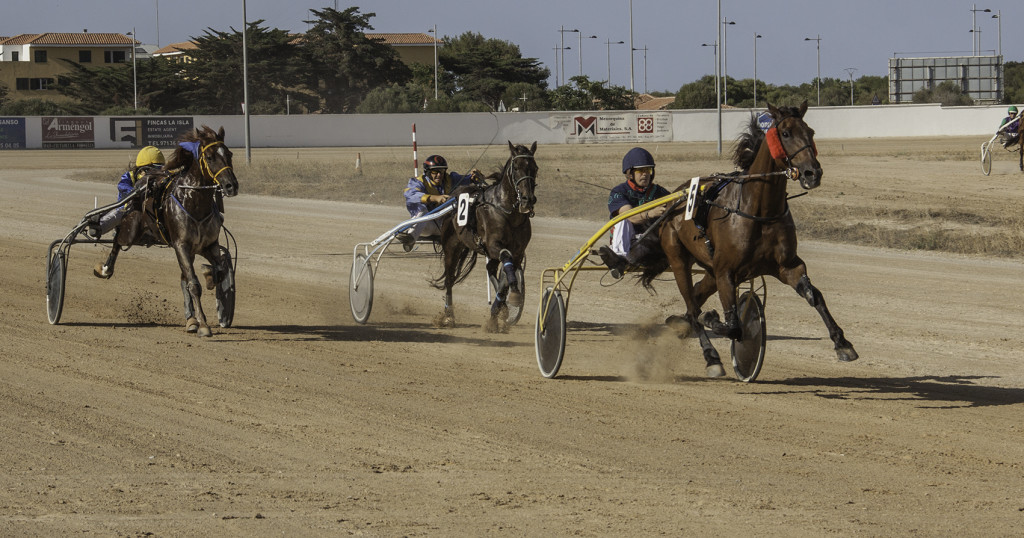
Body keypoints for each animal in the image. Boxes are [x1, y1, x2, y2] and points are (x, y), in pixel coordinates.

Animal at [92, 126, 239, 336]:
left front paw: (209, 276)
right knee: (117, 241)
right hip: (131, 230)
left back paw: (190, 320)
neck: (194, 202)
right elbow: (194, 285)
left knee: (183, 277)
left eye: (229, 154)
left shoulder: (208, 244)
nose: (231, 186)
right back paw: (105, 268)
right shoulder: (181, 245)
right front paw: (203, 325)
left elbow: (218, 271)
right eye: (210, 157)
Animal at [432, 140, 540, 329]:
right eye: (516, 167)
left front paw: (498, 312)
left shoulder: (518, 253)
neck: (507, 212)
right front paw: (512, 296)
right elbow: (506, 261)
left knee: (490, 269)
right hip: (452, 247)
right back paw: (448, 315)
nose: (528, 199)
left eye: (534, 168)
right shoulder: (494, 245)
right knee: (450, 278)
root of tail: (453, 197)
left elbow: (506, 276)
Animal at [643, 102, 860, 375]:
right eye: (785, 133)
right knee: (693, 307)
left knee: (697, 294)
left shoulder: (786, 266)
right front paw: (712, 318)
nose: (813, 173)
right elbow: (734, 326)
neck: (759, 210)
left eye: (810, 132)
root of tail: (675, 199)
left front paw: (842, 343)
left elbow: (815, 296)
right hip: (678, 259)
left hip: (710, 269)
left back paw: (680, 323)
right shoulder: (726, 272)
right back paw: (711, 356)